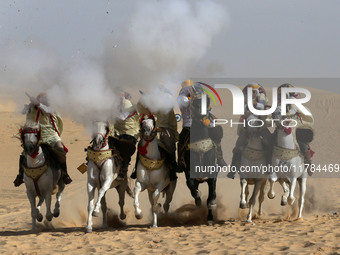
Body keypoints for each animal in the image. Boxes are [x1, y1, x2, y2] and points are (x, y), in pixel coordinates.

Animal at [182, 96, 219, 225]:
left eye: (207, 103)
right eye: (195, 104)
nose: (202, 114)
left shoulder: (212, 173)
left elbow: (211, 197)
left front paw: (210, 218)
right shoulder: (188, 171)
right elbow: (191, 186)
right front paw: (197, 198)